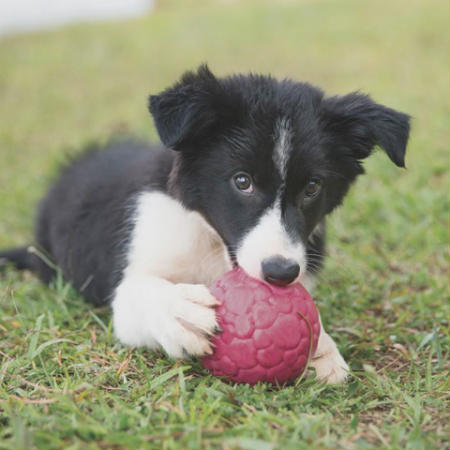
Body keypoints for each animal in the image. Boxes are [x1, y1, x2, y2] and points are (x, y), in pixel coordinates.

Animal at [0, 66, 410, 384]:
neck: (210, 241)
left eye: (312, 188)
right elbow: (138, 293)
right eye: (242, 181)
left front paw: (322, 347)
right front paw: (178, 311)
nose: (280, 273)